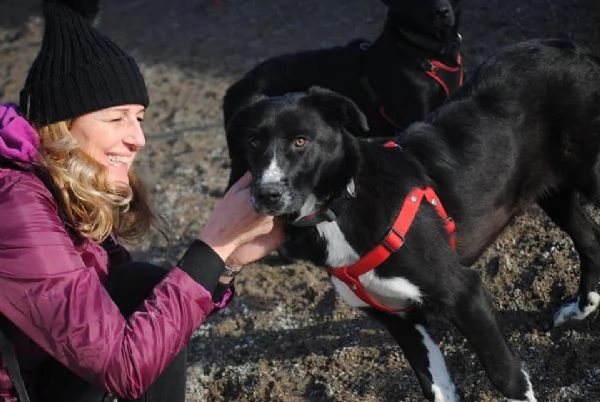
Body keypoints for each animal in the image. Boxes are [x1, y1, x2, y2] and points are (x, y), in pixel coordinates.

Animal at [225, 38, 600, 402]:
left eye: (300, 141)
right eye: (253, 142)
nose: (266, 194)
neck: (341, 205)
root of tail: (573, 50)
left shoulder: (466, 294)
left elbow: (507, 378)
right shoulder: (400, 321)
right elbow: (436, 389)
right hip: (551, 193)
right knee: (590, 239)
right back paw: (581, 308)